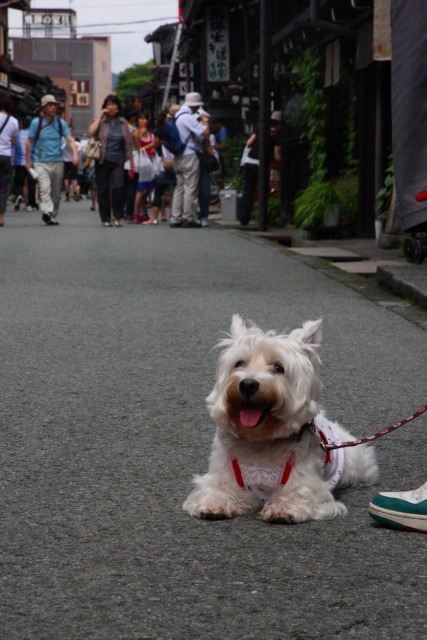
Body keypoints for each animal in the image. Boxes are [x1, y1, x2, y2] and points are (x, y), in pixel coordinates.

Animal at [184, 316, 378, 524]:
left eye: (278, 367)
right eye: (239, 363)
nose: (248, 384)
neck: (260, 441)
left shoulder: (308, 483)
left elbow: (300, 494)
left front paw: (283, 509)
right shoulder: (223, 474)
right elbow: (216, 489)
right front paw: (214, 505)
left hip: (356, 464)